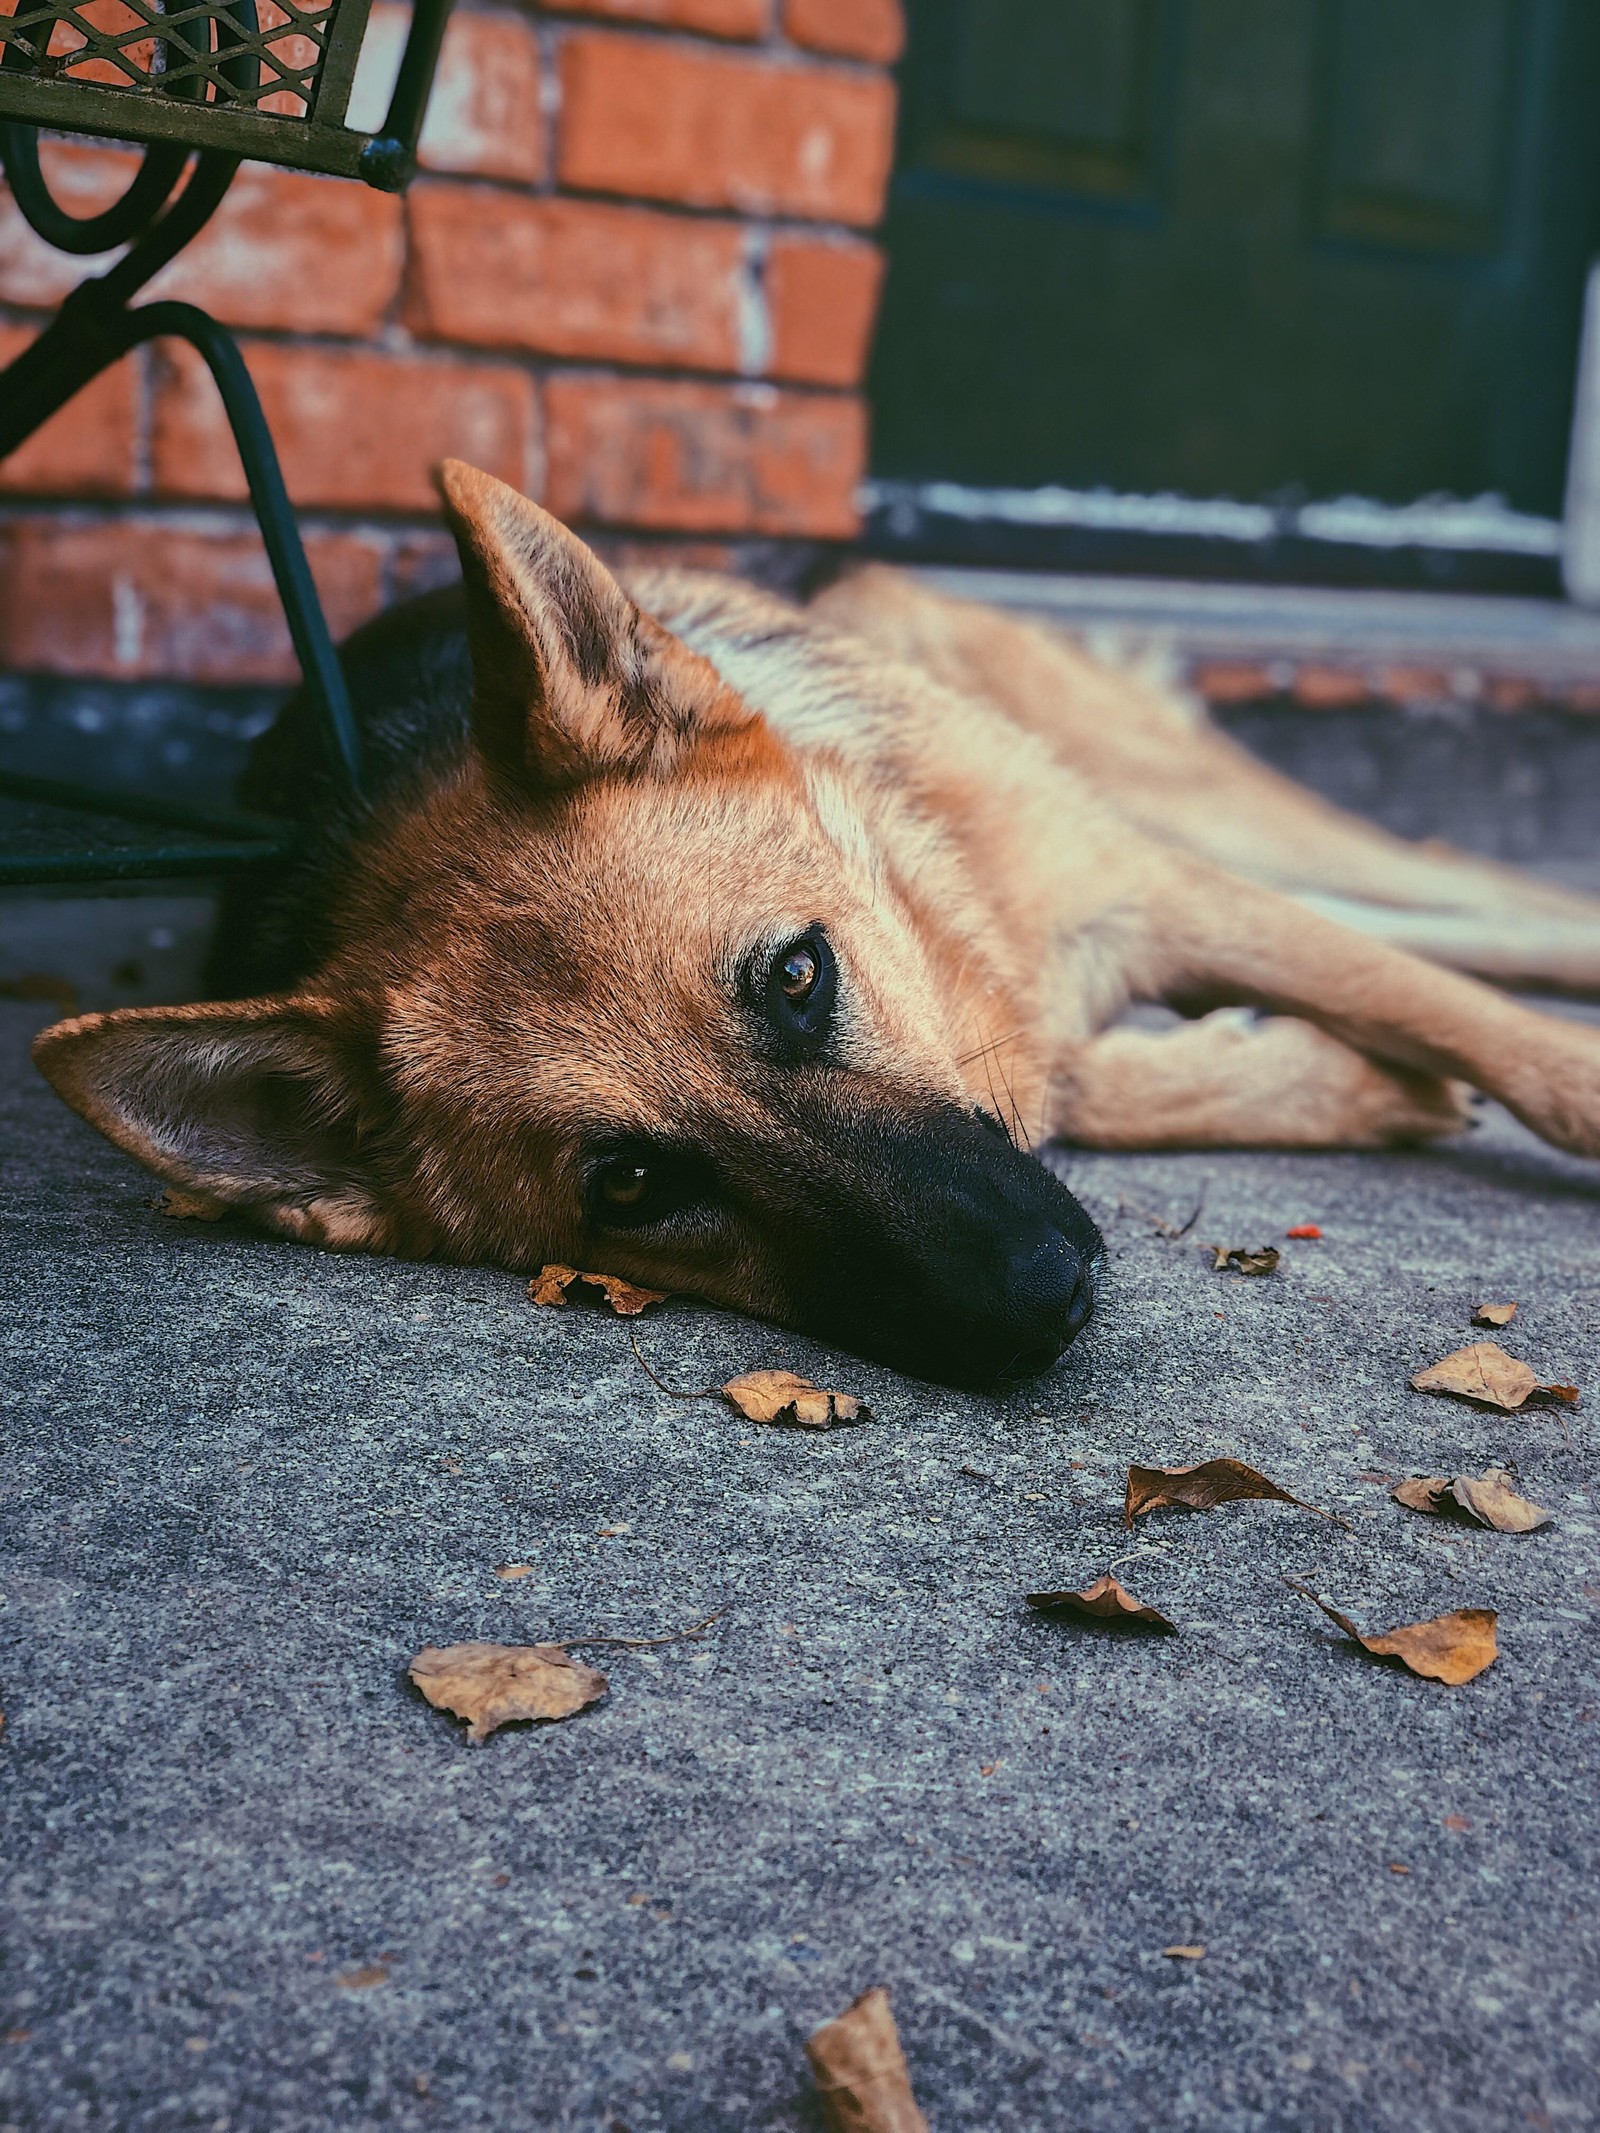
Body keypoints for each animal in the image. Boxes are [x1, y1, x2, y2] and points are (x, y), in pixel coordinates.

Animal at [28, 471, 1600, 1382]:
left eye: (797, 975)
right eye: (631, 1186)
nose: (1045, 1302)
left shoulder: (1149, 893)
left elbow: (1512, 1051)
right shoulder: (1064, 1019)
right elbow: (1160, 1076)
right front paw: (1348, 1082)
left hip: (1190, 809)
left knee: (1468, 898)